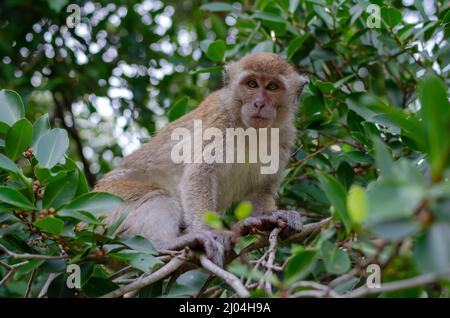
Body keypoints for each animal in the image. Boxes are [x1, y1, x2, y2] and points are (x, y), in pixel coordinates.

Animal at [96, 52, 310, 266]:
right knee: (156, 196)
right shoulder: (219, 120)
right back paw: (165, 244)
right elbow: (199, 174)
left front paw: (271, 215)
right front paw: (209, 231)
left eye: (272, 87)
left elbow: (260, 189)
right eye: (252, 84)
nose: (259, 103)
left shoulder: (285, 135)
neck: (250, 130)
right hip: (109, 203)